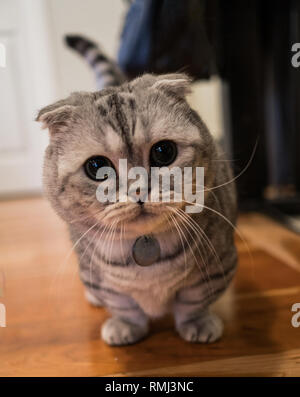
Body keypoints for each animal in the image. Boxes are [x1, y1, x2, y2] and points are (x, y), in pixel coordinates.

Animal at [35, 35, 237, 344]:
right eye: (96, 166)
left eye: (163, 152)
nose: (139, 190)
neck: (145, 246)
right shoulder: (104, 281)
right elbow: (124, 305)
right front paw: (126, 327)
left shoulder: (217, 267)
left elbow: (194, 301)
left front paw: (198, 324)